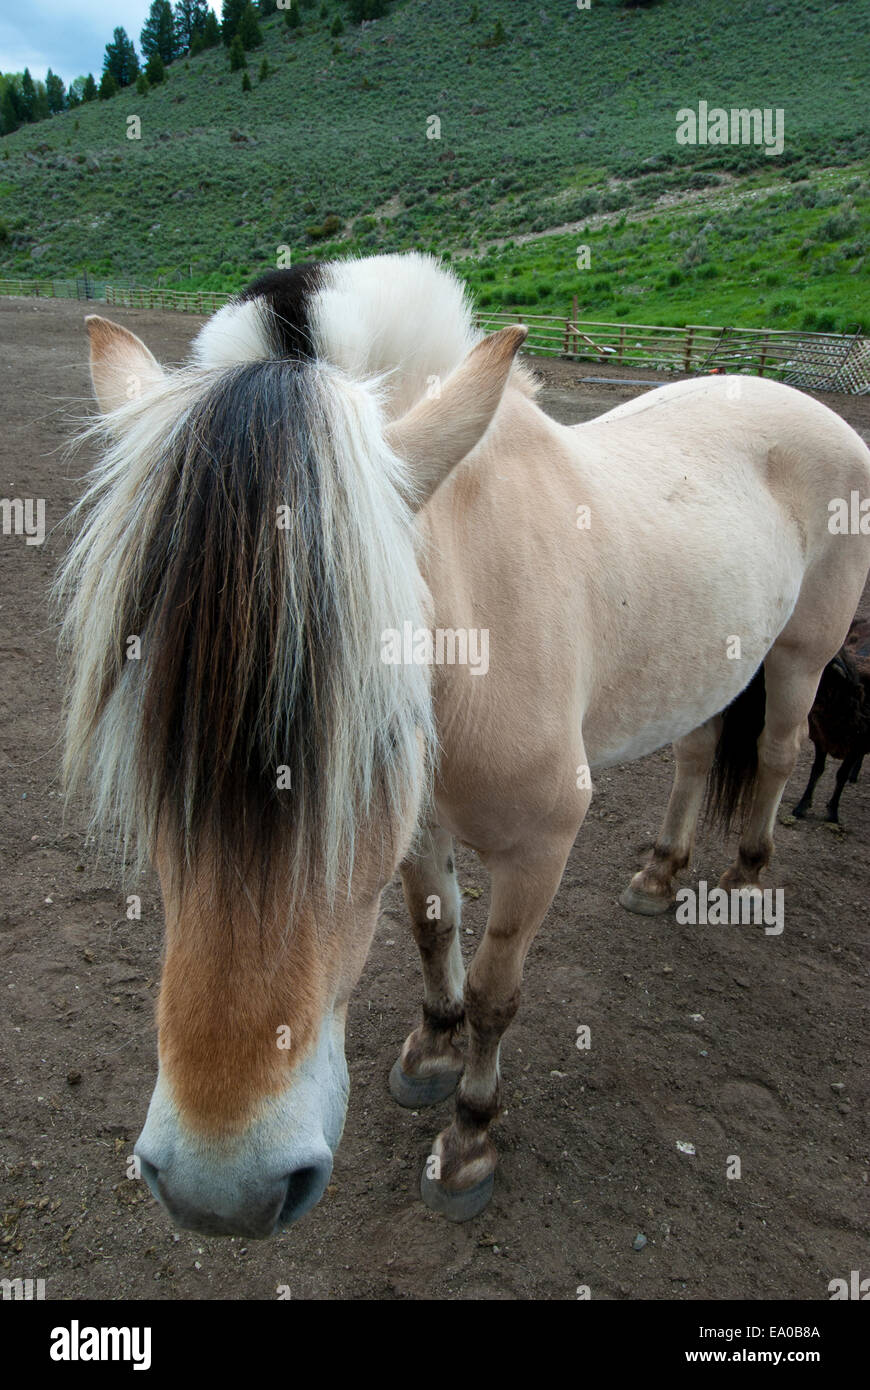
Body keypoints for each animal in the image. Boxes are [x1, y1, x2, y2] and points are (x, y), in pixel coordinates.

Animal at [59, 255, 867, 1234]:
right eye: (146, 731)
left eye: (387, 728)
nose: (221, 1187)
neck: (482, 594)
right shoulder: (421, 825)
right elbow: (432, 926)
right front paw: (431, 1051)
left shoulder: (541, 843)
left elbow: (493, 989)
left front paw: (471, 1135)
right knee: (697, 755)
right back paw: (659, 873)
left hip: (801, 656)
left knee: (780, 755)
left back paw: (745, 879)